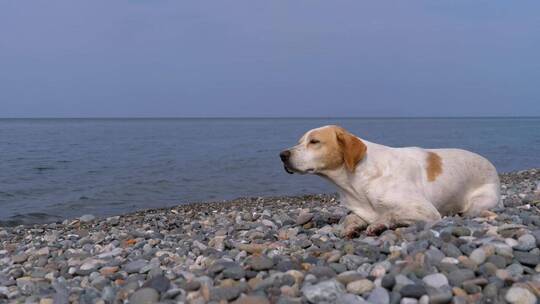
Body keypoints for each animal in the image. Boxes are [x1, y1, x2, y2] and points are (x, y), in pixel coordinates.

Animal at [280, 124, 500, 236]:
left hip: (475, 205)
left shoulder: (426, 211)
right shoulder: (360, 209)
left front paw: (379, 224)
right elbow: (351, 218)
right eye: (300, 141)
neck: (359, 177)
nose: (282, 155)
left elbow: (390, 214)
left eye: (314, 141)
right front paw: (351, 227)